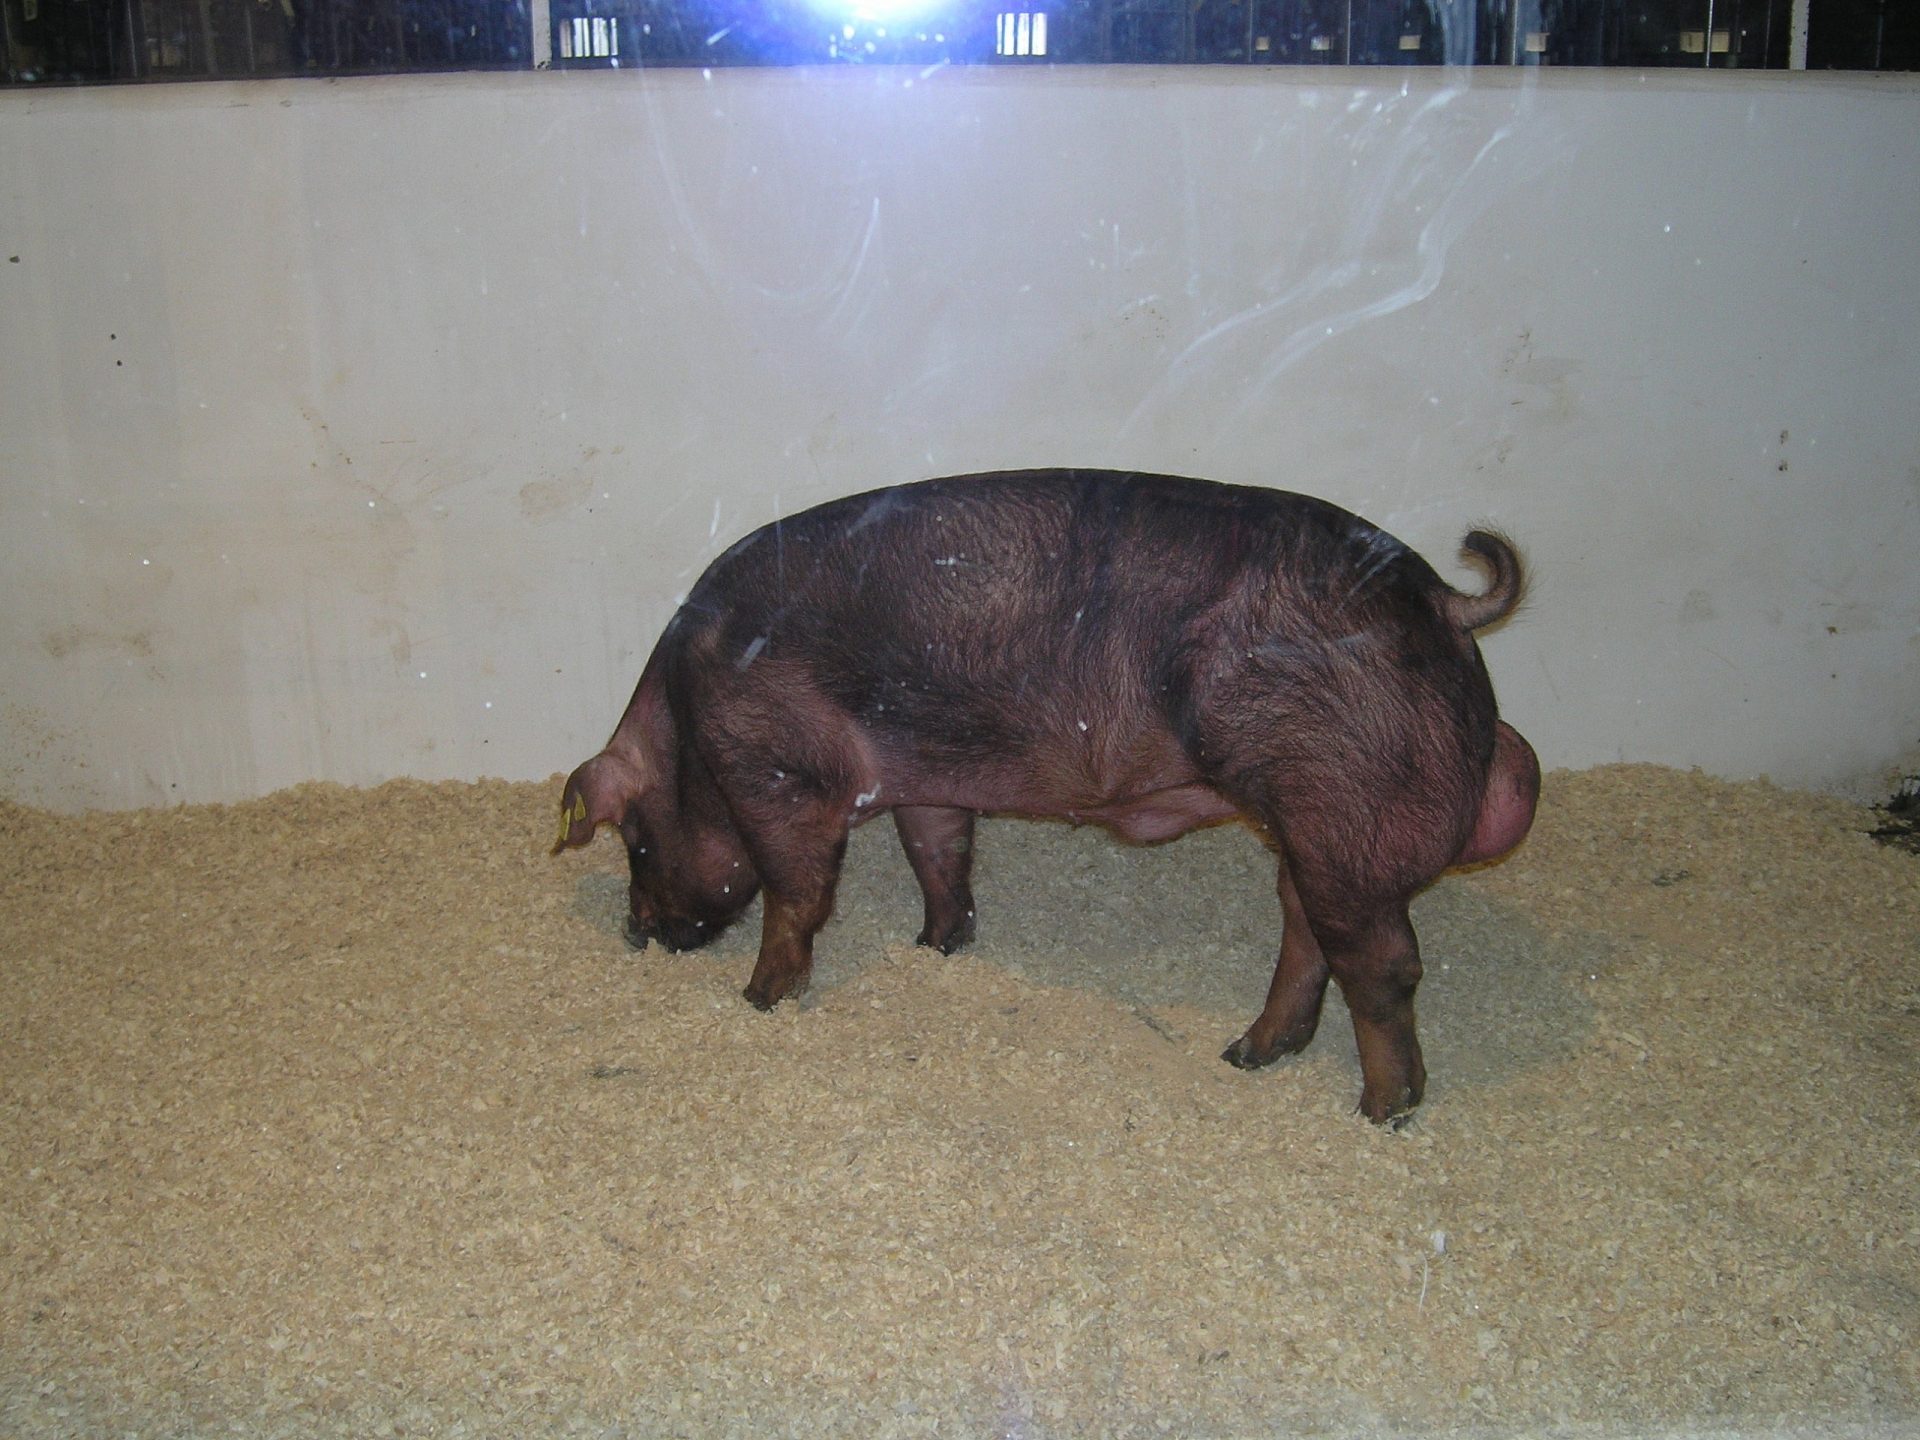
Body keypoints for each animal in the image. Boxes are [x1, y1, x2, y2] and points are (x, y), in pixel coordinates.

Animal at [555, 469, 1539, 1123]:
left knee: (1383, 964)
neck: (690, 716)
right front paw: (937, 945)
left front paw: (760, 1001)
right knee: (1308, 931)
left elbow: (797, 893)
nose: (636, 932)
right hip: (1311, 825)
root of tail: (1441, 597)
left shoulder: (780, 774)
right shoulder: (926, 776)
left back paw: (1380, 1109)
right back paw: (1245, 1056)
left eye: (634, 840)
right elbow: (938, 852)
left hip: (1341, 804)